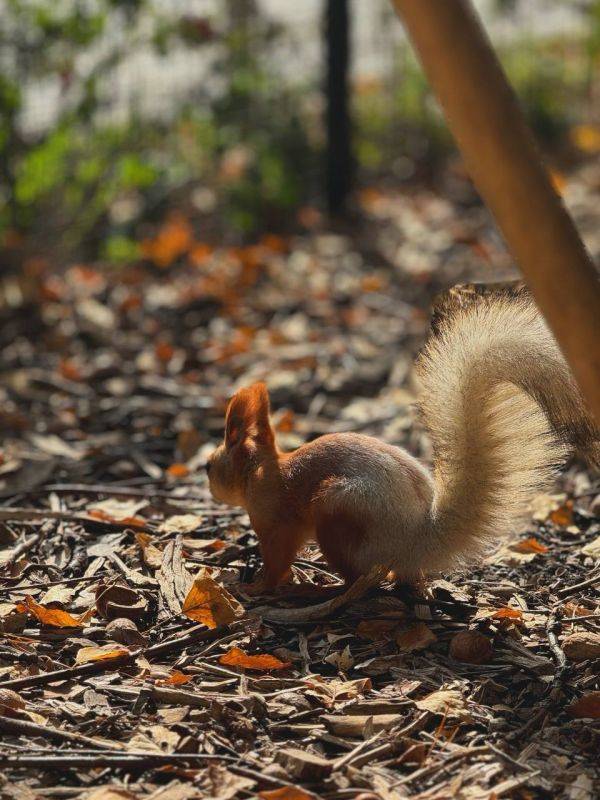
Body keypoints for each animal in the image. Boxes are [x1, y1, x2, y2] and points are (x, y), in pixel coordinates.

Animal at [205, 290, 596, 592]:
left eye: (209, 465)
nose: (207, 484)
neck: (262, 470)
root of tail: (416, 541)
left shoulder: (276, 522)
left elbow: (278, 560)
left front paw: (258, 588)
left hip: (337, 511)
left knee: (362, 578)